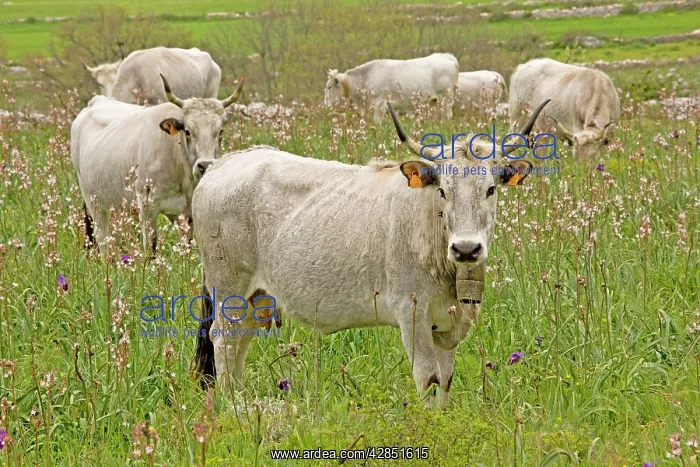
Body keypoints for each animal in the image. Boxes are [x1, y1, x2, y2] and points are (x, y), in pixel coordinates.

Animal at [70, 74, 246, 255]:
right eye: (188, 131)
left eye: (220, 131)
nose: (205, 165)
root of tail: (97, 101)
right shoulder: (147, 205)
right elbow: (151, 247)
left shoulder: (187, 213)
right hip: (93, 201)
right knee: (103, 240)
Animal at [190, 99, 549, 408]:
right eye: (443, 190)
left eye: (490, 189)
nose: (466, 248)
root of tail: (222, 165)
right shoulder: (411, 314)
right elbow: (429, 379)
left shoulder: (449, 325)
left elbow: (444, 380)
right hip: (229, 289)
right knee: (224, 341)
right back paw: (232, 406)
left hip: (257, 296)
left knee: (240, 341)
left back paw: (240, 399)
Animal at [324, 53, 459, 122]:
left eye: (329, 87)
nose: (326, 105)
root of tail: (446, 56)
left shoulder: (379, 103)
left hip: (446, 98)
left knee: (448, 115)